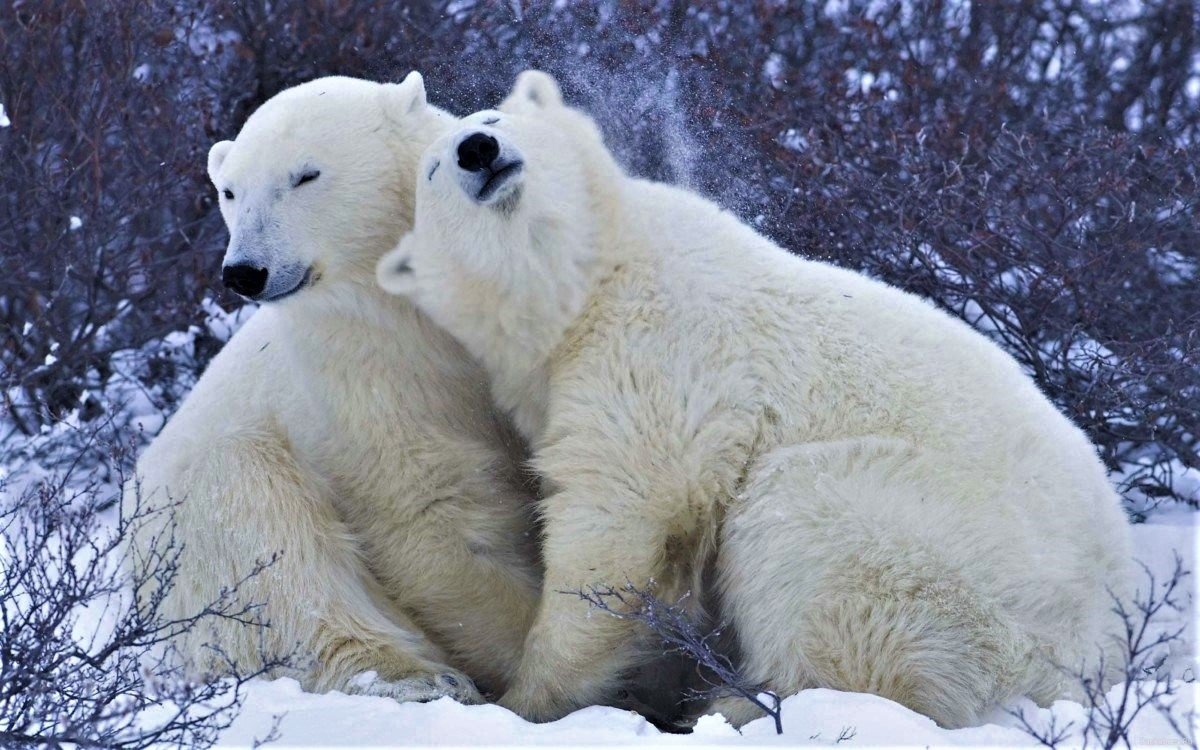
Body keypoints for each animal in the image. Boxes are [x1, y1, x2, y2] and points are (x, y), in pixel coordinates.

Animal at [129, 73, 542, 705]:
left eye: (305, 175)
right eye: (231, 192)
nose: (244, 271)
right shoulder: (361, 377)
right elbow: (430, 515)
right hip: (193, 533)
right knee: (270, 544)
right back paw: (417, 680)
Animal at [379, 70, 1137, 724]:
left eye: (493, 119)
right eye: (434, 169)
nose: (478, 151)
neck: (590, 281)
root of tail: (1099, 647)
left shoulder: (659, 348)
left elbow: (622, 514)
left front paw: (528, 700)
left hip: (948, 547)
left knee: (806, 527)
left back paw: (741, 701)